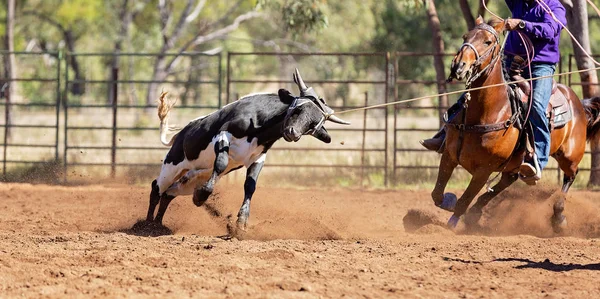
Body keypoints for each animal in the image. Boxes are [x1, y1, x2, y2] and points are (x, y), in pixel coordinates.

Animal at [146, 69, 352, 232]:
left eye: (312, 125)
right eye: (298, 109)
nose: (293, 132)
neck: (259, 126)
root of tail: (181, 134)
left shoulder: (258, 157)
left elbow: (250, 186)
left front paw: (242, 221)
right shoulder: (225, 134)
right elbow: (221, 163)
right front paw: (201, 195)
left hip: (191, 178)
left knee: (169, 193)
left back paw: (158, 225)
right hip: (173, 164)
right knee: (157, 188)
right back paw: (146, 225)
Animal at [432, 16, 600, 233]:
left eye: (488, 41)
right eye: (465, 37)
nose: (458, 66)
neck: (486, 112)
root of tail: (579, 102)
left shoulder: (484, 169)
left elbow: (464, 200)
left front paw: (452, 223)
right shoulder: (449, 155)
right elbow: (437, 195)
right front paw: (449, 201)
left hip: (569, 157)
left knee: (570, 176)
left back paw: (558, 216)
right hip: (514, 165)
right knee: (506, 181)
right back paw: (476, 212)